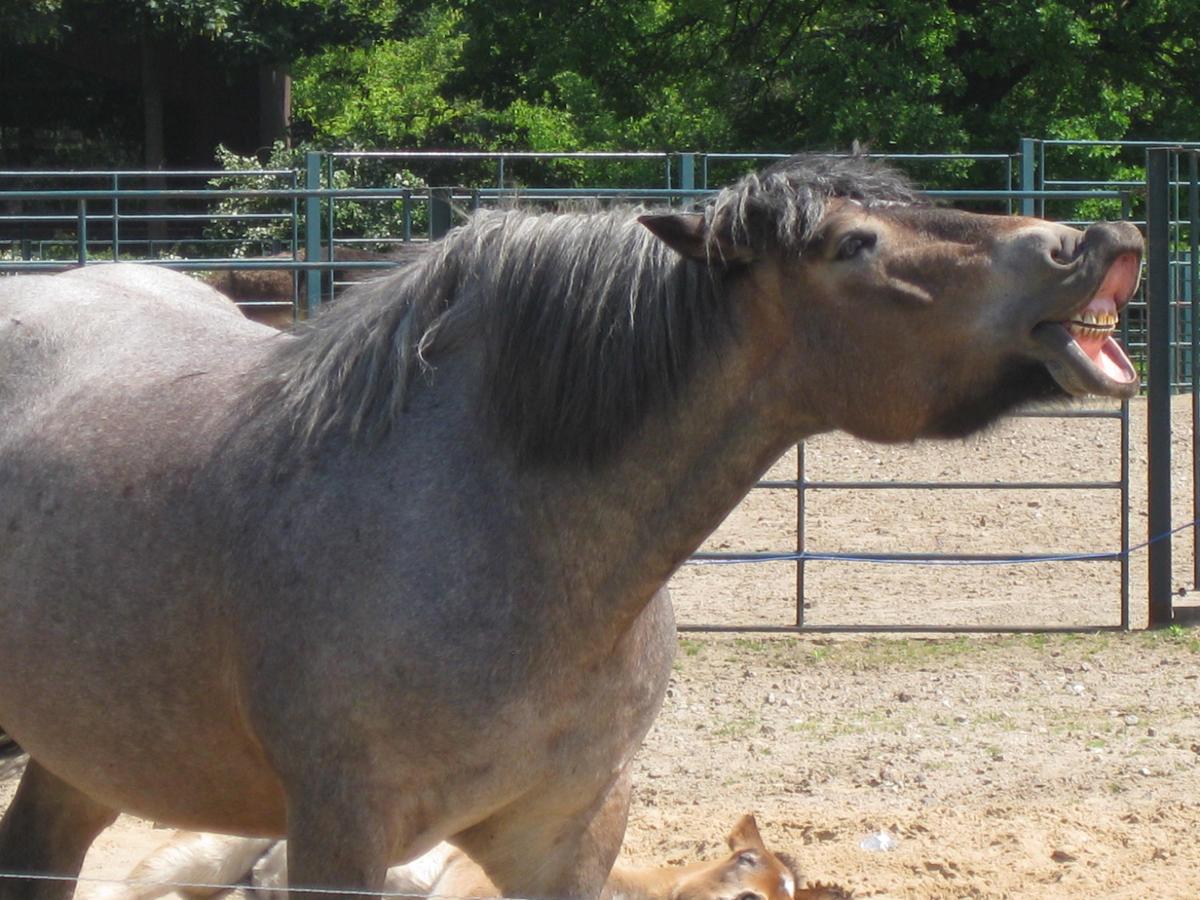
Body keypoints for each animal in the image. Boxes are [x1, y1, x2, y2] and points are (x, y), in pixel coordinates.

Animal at [0, 154, 1142, 900]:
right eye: (857, 243)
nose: (1097, 239)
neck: (507, 532)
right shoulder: (338, 839)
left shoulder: (571, 835)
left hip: (78, 757)